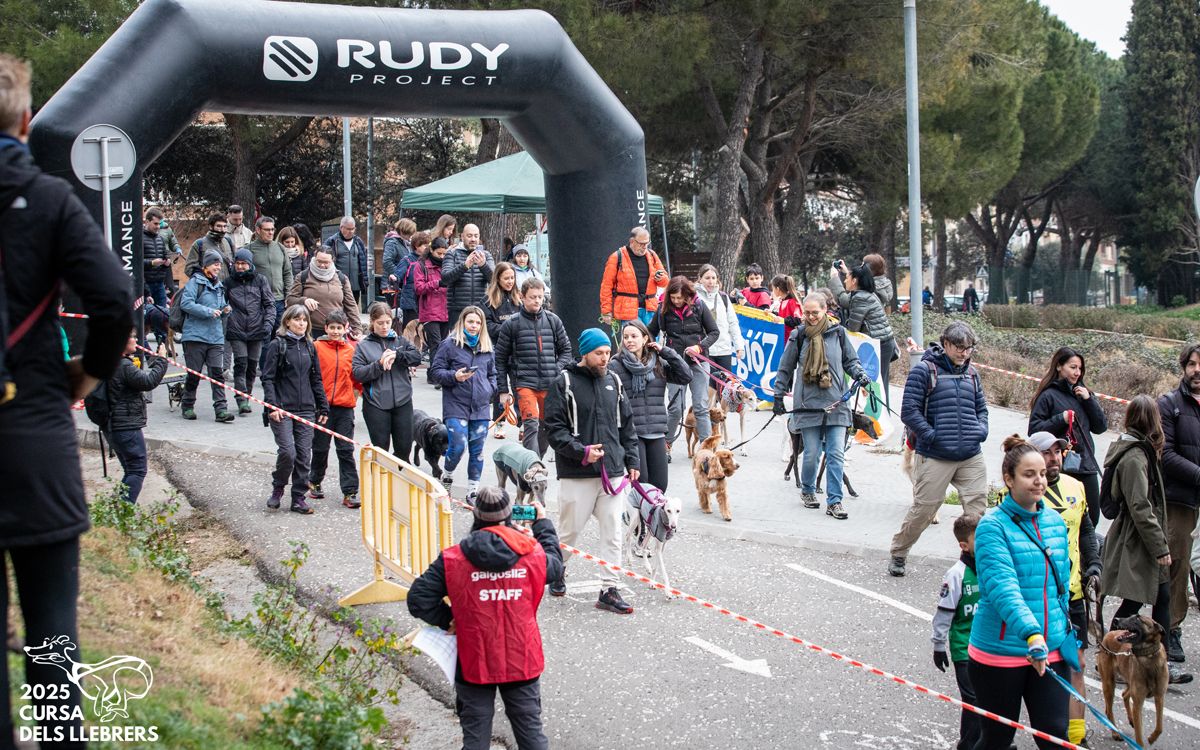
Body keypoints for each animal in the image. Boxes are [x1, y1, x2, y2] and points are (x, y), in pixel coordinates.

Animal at [1099, 614, 1166, 744]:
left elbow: (1160, 726)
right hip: (1109, 684)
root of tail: (1109, 633)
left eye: (1138, 618)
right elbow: (1139, 735)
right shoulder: (1138, 703)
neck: (1148, 657)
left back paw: (1131, 720)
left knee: (1124, 694)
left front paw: (1152, 738)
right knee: (1109, 711)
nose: (1116, 620)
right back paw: (1115, 733)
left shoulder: (1159, 697)